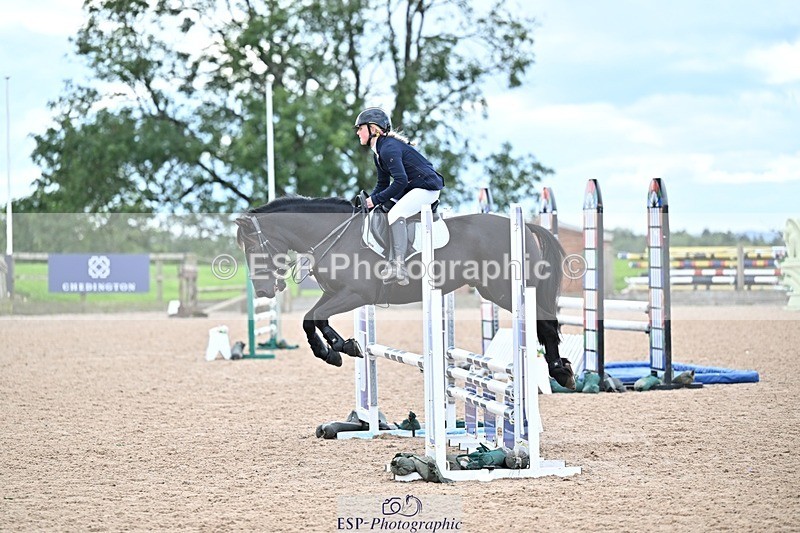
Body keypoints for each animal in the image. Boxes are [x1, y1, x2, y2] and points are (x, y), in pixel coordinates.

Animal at [235, 196, 575, 389]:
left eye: (252, 247)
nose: (263, 290)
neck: (333, 233)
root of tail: (525, 226)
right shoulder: (334, 293)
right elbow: (311, 318)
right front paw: (337, 350)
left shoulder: (356, 294)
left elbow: (316, 318)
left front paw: (337, 349)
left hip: (505, 290)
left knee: (545, 323)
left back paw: (561, 372)